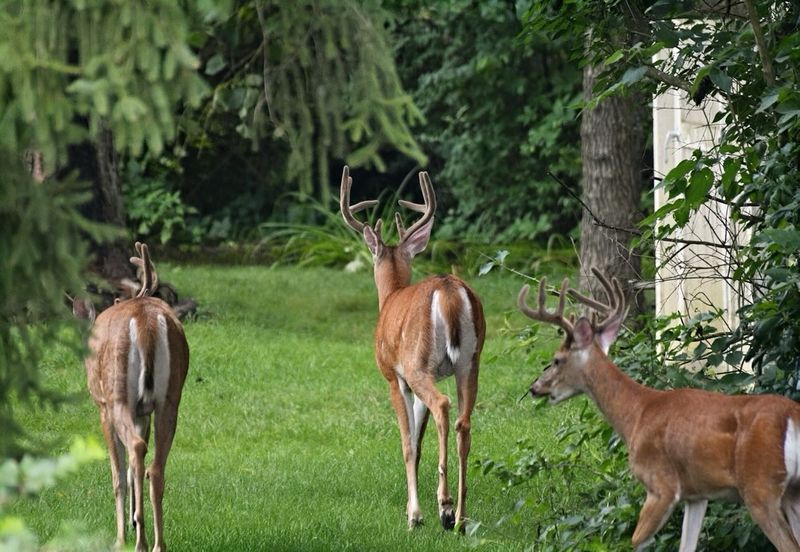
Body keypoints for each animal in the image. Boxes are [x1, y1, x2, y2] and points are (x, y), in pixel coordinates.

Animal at [72, 242, 189, 552]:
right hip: (170, 398)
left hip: (118, 394)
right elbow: (129, 471)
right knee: (154, 467)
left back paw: (133, 542)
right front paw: (136, 524)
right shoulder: (143, 412)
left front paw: (124, 532)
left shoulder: (102, 406)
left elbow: (117, 474)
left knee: (135, 449)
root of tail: (146, 320)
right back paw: (157, 543)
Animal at [339, 165, 486, 530]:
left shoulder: (394, 376)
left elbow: (407, 443)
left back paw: (445, 507)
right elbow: (418, 444)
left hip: (418, 362)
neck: (390, 296)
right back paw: (460, 517)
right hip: (470, 361)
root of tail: (448, 290)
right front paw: (416, 509)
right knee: (462, 421)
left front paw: (414, 515)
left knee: (443, 405)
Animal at [517, 267, 800, 552]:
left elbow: (637, 541)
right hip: (792, 492)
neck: (637, 413)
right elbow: (687, 545)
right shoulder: (697, 494)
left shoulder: (660, 484)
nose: (535, 387)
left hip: (760, 486)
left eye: (557, 360)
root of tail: (792, 416)